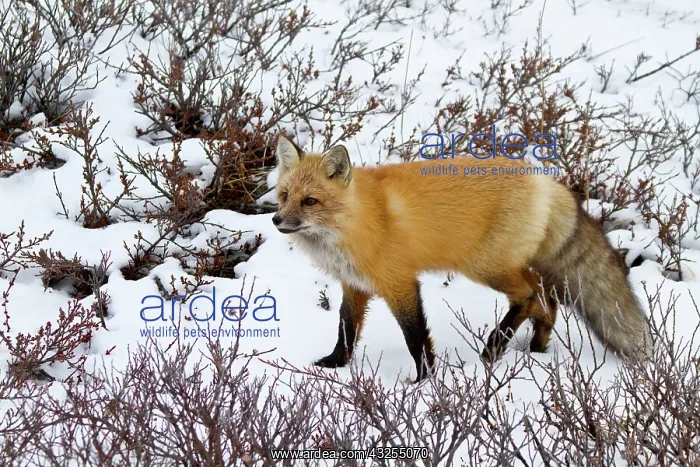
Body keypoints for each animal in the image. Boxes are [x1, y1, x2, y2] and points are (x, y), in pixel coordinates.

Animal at [271, 135, 653, 383]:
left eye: (310, 201)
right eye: (285, 196)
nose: (275, 220)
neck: (356, 221)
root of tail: (546, 181)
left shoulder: (399, 282)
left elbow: (415, 336)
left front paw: (423, 380)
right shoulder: (354, 285)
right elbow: (345, 328)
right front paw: (334, 364)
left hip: (484, 267)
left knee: (529, 296)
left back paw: (493, 348)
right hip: (505, 267)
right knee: (546, 299)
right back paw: (537, 348)